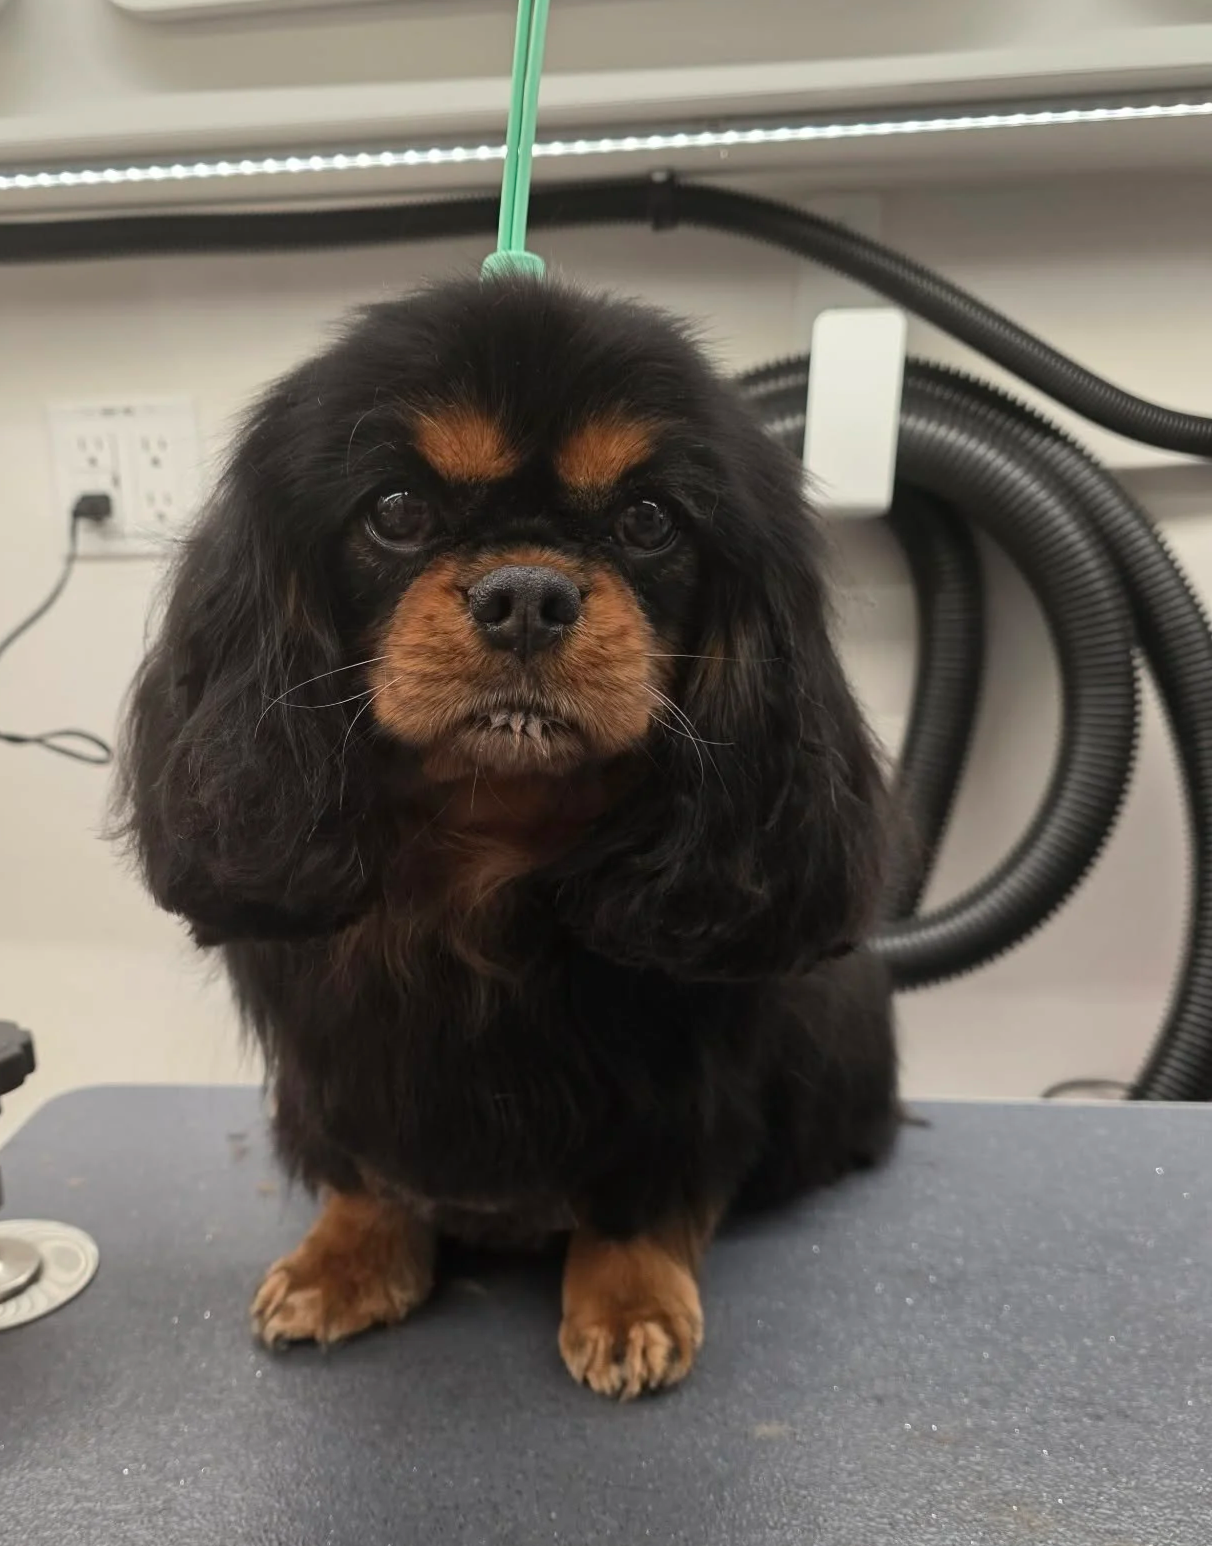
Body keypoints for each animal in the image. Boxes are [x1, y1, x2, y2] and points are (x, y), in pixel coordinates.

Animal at [118, 274, 897, 1399]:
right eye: (397, 510)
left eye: (649, 519)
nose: (527, 591)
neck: (487, 842)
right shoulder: (339, 1061)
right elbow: (367, 1170)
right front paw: (348, 1256)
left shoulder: (679, 1085)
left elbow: (645, 1189)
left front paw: (628, 1295)